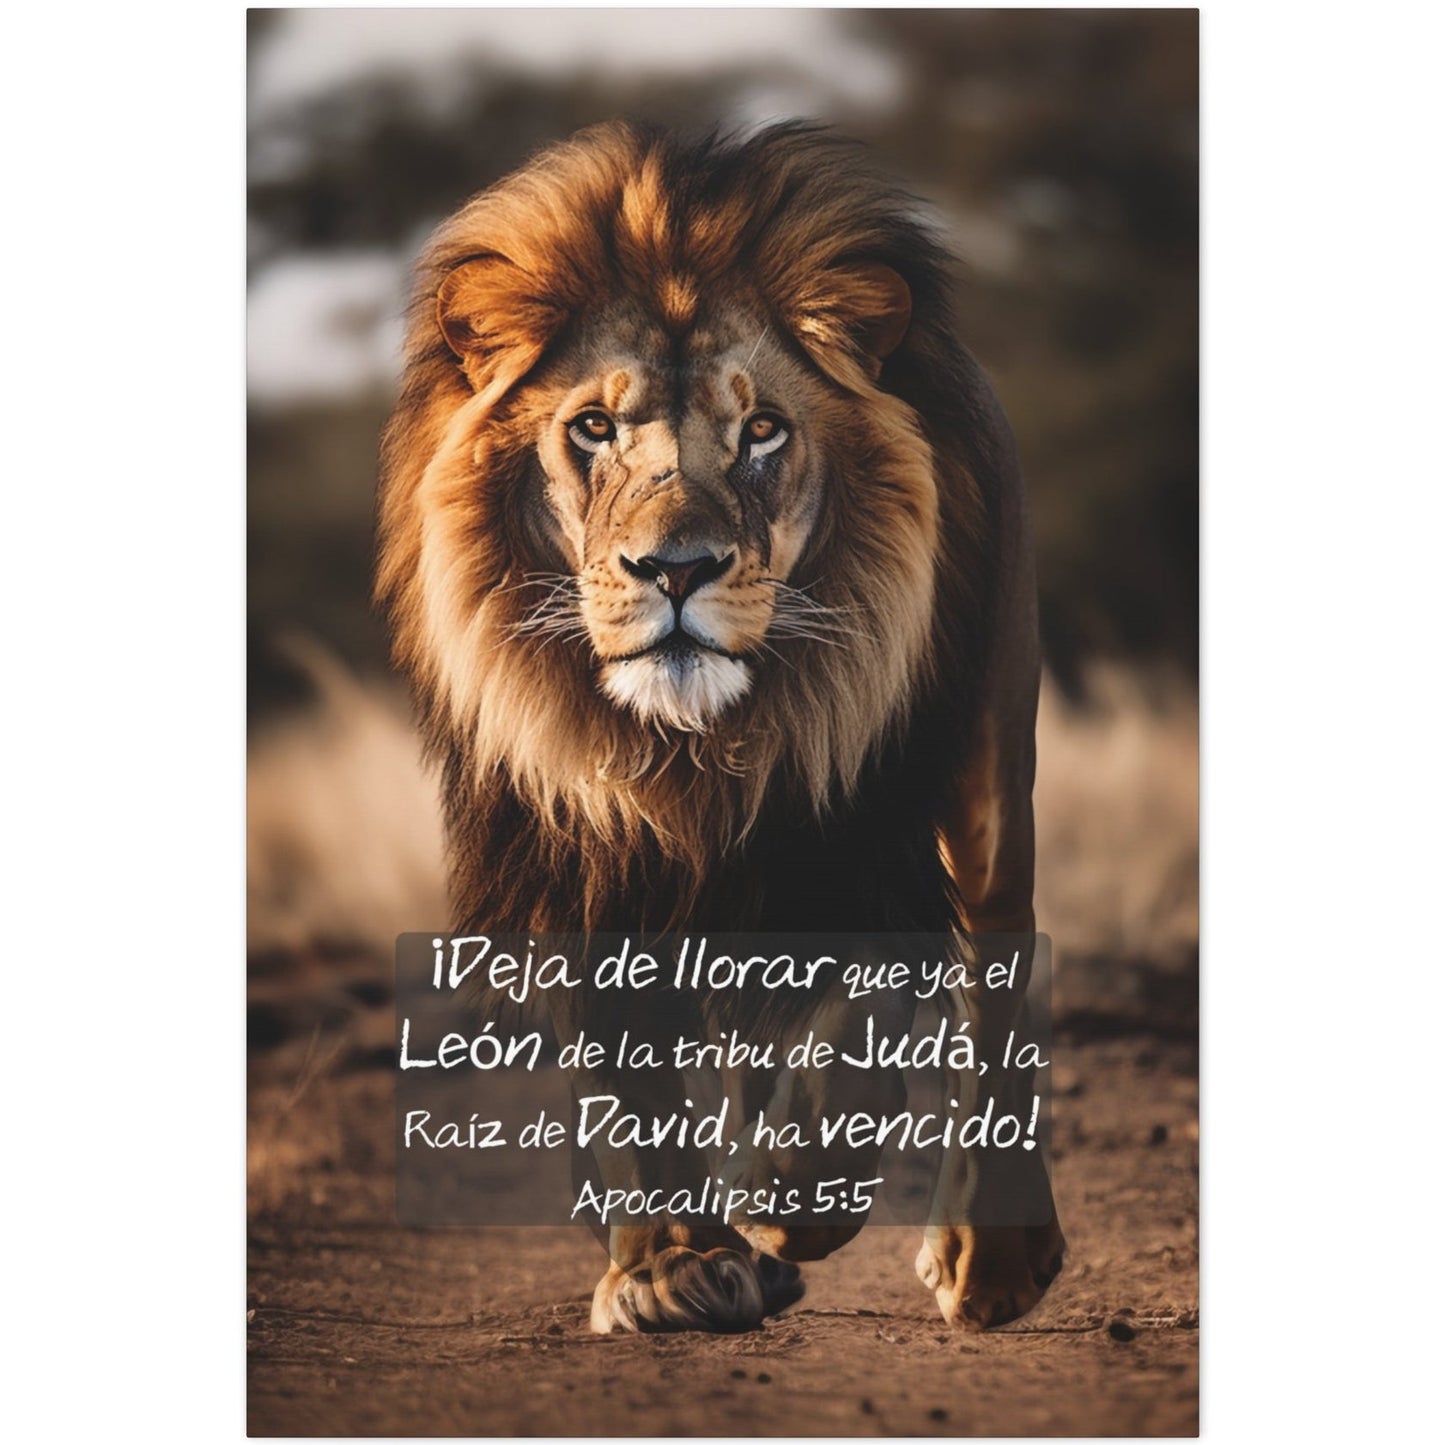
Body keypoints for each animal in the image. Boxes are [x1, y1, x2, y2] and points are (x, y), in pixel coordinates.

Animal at [377, 121, 1064, 1334]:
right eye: (592, 427)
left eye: (762, 431)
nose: (676, 567)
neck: (696, 750)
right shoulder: (576, 841)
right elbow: (622, 1072)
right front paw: (671, 1265)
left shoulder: (865, 829)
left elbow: (853, 1033)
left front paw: (790, 1199)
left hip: (983, 777)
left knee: (994, 964)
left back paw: (985, 1259)